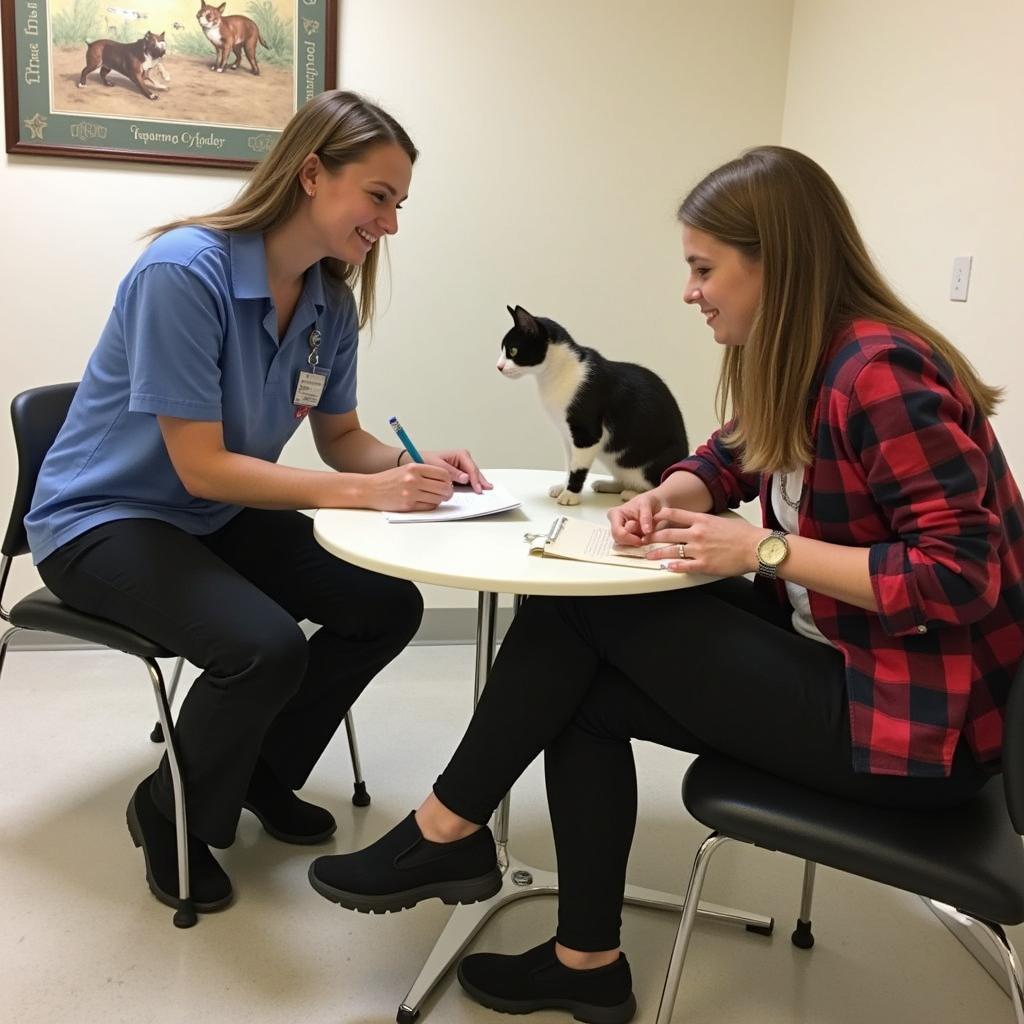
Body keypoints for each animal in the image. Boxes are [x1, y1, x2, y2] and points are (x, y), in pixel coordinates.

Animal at [495, 303, 688, 503]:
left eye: (513, 351)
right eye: (503, 350)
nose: (498, 366)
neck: (557, 373)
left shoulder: (586, 434)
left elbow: (578, 467)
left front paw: (570, 494)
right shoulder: (567, 435)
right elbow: (569, 463)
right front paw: (563, 487)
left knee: (660, 483)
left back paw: (634, 494)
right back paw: (608, 485)